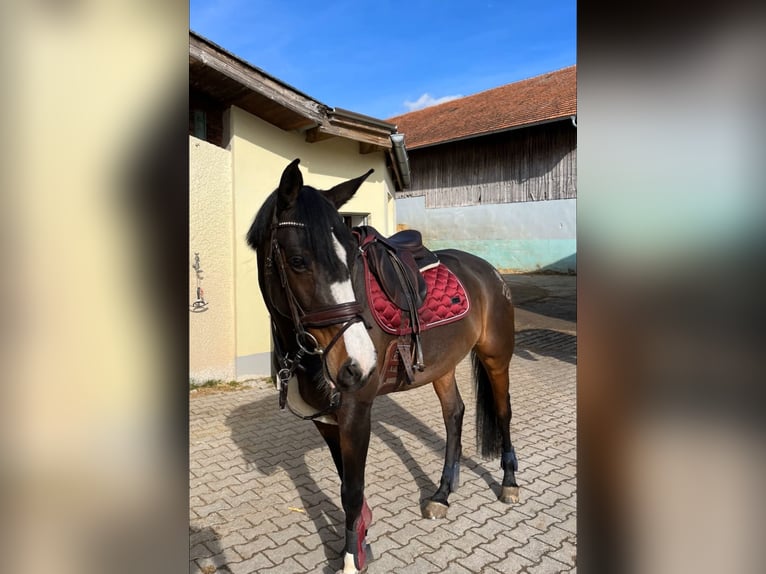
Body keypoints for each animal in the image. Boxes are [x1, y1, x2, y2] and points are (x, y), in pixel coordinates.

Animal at [248, 159, 520, 574]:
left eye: (350, 259)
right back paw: (442, 494)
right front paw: (361, 539)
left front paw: (350, 559)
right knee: (454, 415)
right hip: (442, 367)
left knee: (503, 413)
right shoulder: (325, 419)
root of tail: (487, 271)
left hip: (496, 357)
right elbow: (346, 481)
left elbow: (351, 489)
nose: (357, 365)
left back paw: (509, 483)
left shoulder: (356, 411)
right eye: (297, 261)